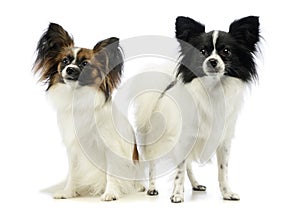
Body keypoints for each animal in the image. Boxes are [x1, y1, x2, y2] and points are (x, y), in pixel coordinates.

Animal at [33, 23, 144, 201]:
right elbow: (73, 172)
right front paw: (68, 192)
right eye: (65, 61)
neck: (77, 97)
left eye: (85, 64)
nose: (70, 69)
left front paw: (110, 193)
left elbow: (111, 172)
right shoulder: (73, 148)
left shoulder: (110, 147)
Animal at [132, 16, 262, 203]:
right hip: (156, 140)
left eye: (226, 51)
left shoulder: (223, 141)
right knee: (153, 164)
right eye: (202, 51)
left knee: (188, 166)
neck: (212, 90)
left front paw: (227, 193)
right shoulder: (183, 138)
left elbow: (222, 170)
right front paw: (177, 194)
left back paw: (195, 184)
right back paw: (152, 188)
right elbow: (179, 171)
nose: (212, 61)